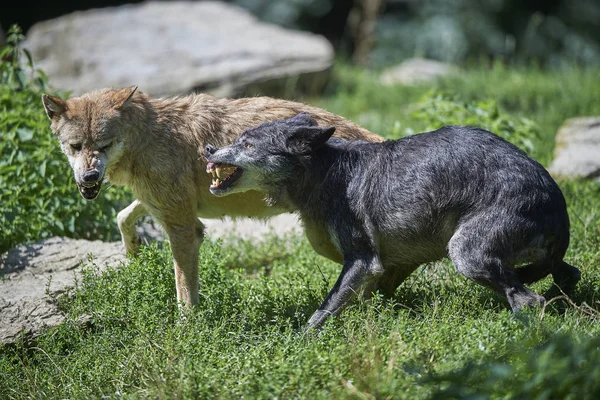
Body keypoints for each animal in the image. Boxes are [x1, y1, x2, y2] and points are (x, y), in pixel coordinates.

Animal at [41, 87, 384, 306]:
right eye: (75, 146)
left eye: (104, 145)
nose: (89, 177)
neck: (149, 136)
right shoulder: (160, 204)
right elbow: (123, 216)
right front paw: (134, 255)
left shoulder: (184, 229)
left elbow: (184, 295)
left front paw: (186, 335)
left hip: (327, 245)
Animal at [205, 112, 576, 328]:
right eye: (237, 138)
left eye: (247, 144)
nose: (208, 149)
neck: (327, 172)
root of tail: (557, 202)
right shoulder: (382, 266)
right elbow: (367, 299)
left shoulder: (362, 260)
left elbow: (323, 310)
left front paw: (299, 342)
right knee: (568, 273)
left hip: (466, 255)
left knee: (530, 299)